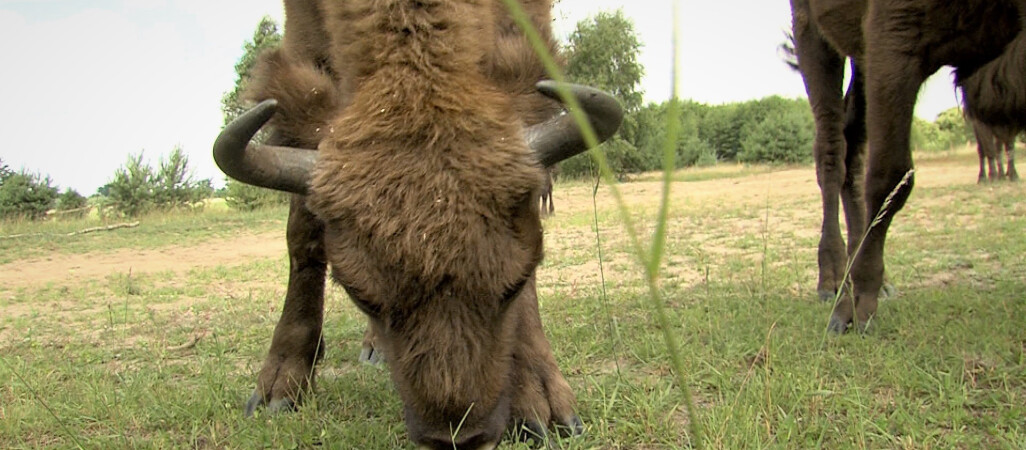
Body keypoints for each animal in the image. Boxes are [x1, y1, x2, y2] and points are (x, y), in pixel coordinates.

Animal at [212, 0, 619, 446]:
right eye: (359, 295)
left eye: (515, 283)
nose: (459, 437)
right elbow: (302, 233)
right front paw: (280, 385)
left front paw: (541, 401)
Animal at [787, 0, 1026, 332]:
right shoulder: (894, 34)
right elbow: (890, 176)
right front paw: (854, 308)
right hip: (812, 32)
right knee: (832, 150)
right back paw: (833, 280)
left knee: (853, 146)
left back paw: (872, 279)